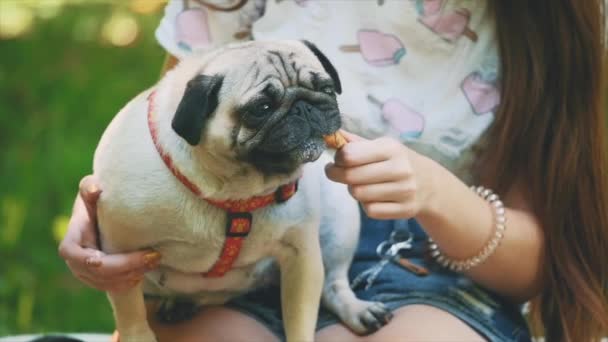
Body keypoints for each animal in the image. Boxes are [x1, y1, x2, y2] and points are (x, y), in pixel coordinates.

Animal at [92, 40, 392, 342]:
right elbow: (131, 313)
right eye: (261, 107)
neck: (233, 190)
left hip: (339, 223)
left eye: (327, 88)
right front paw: (138, 336)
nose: (303, 108)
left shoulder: (302, 256)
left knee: (334, 282)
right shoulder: (120, 257)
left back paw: (357, 309)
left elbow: (300, 320)